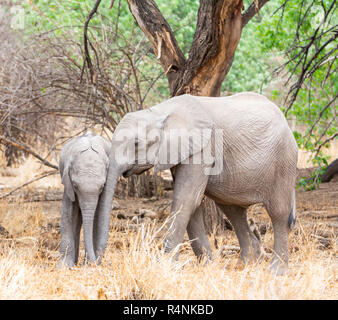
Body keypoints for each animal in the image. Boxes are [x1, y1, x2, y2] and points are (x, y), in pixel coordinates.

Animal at [58, 130, 110, 268]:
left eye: (102, 186)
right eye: (75, 186)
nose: (94, 263)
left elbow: (97, 217)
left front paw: (88, 264)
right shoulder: (68, 184)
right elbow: (69, 213)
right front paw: (64, 266)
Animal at [93, 92, 298, 276]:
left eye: (136, 143)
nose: (97, 261)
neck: (161, 112)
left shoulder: (202, 149)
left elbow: (186, 200)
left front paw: (166, 268)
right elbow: (192, 204)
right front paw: (208, 266)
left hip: (284, 160)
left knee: (278, 213)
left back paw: (276, 271)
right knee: (234, 212)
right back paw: (246, 264)